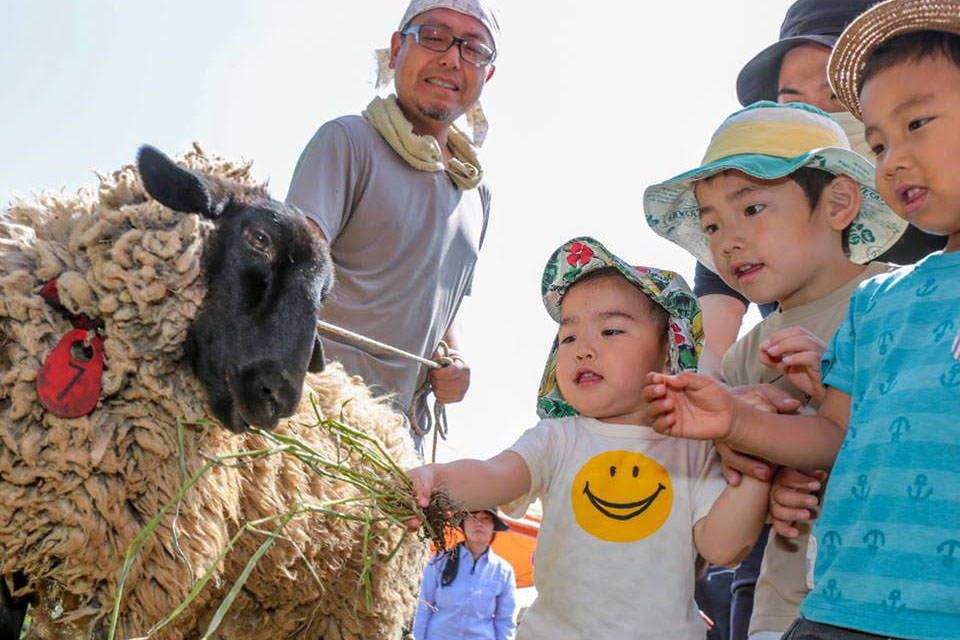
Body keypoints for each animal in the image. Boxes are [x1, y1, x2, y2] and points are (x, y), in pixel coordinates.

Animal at [0, 146, 428, 640]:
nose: (277, 398)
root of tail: (390, 426)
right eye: (258, 239)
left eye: (325, 294)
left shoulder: (138, 585)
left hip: (358, 612)